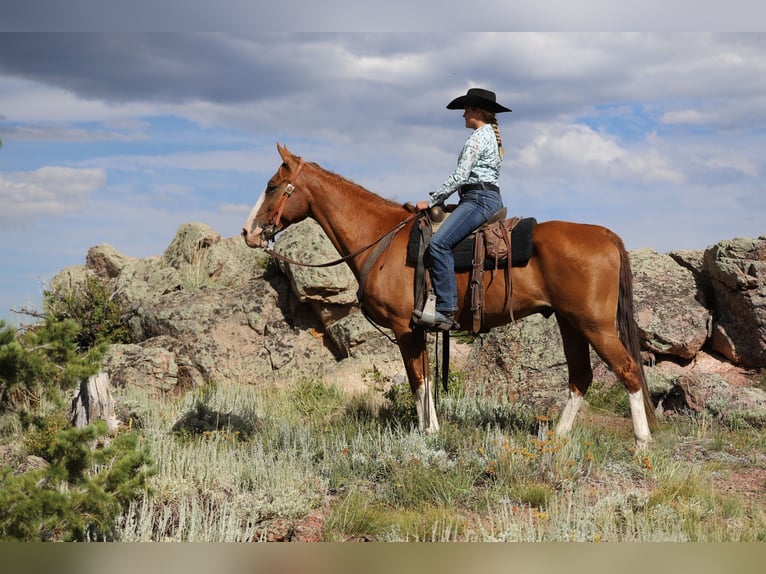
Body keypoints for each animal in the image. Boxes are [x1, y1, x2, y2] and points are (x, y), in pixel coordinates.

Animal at [243, 143, 656, 450]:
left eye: (272, 185)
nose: (248, 232)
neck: (381, 239)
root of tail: (605, 234)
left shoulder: (404, 328)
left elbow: (417, 381)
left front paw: (426, 433)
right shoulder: (418, 330)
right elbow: (425, 379)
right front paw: (432, 430)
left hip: (595, 324)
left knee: (627, 369)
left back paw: (641, 443)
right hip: (570, 323)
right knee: (581, 376)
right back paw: (556, 439)